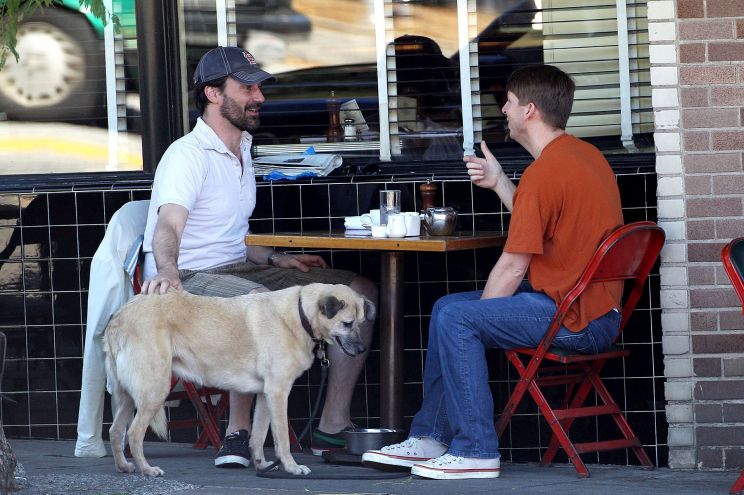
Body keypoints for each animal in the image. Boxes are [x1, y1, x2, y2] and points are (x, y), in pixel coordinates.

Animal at [102, 284, 374, 478]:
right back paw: (147, 470)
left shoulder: (265, 395)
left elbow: (258, 436)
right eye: (347, 324)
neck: (300, 314)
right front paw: (291, 467)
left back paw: (124, 467)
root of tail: (119, 316)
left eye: (360, 324)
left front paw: (262, 466)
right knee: (134, 433)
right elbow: (282, 439)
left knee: (115, 431)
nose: (362, 349)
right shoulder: (278, 393)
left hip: (128, 395)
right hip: (155, 389)